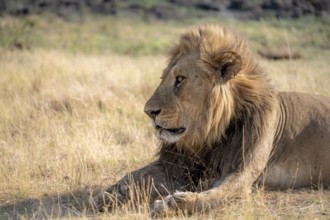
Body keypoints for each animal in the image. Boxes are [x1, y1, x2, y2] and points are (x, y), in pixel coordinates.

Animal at [92, 24, 330, 217]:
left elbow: (216, 194)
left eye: (180, 79)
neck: (206, 135)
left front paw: (172, 204)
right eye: (163, 78)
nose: (148, 112)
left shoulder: (242, 170)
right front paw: (108, 196)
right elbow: (133, 176)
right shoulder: (177, 166)